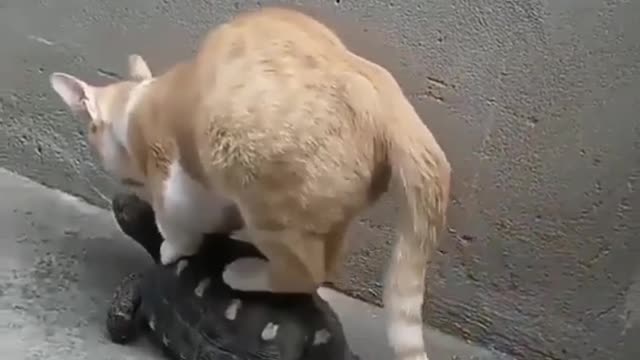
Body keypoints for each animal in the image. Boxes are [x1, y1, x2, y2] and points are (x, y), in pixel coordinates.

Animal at [48, 6, 450, 360]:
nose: (125, 191)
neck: (137, 104)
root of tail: (387, 103)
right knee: (326, 261)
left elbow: (176, 230)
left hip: (260, 192)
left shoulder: (172, 181)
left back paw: (246, 274)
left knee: (307, 273)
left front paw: (171, 249)